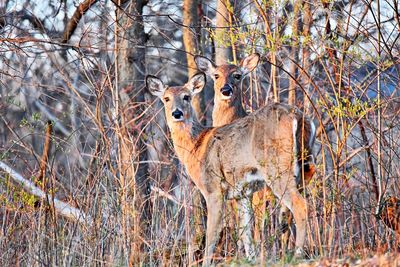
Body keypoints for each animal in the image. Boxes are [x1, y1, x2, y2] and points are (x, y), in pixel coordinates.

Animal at [147, 71, 310, 266]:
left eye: (186, 97)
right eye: (166, 98)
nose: (176, 113)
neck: (196, 148)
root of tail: (296, 116)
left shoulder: (213, 189)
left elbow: (212, 234)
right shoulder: (242, 193)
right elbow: (246, 233)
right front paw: (252, 259)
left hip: (277, 167)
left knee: (300, 204)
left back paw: (298, 254)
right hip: (303, 165)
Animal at [195, 53, 318, 252]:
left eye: (237, 75)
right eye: (216, 75)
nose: (225, 90)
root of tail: (298, 117)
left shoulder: (250, 191)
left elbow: (251, 226)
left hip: (277, 170)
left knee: (296, 207)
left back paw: (295, 251)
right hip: (304, 164)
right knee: (289, 214)